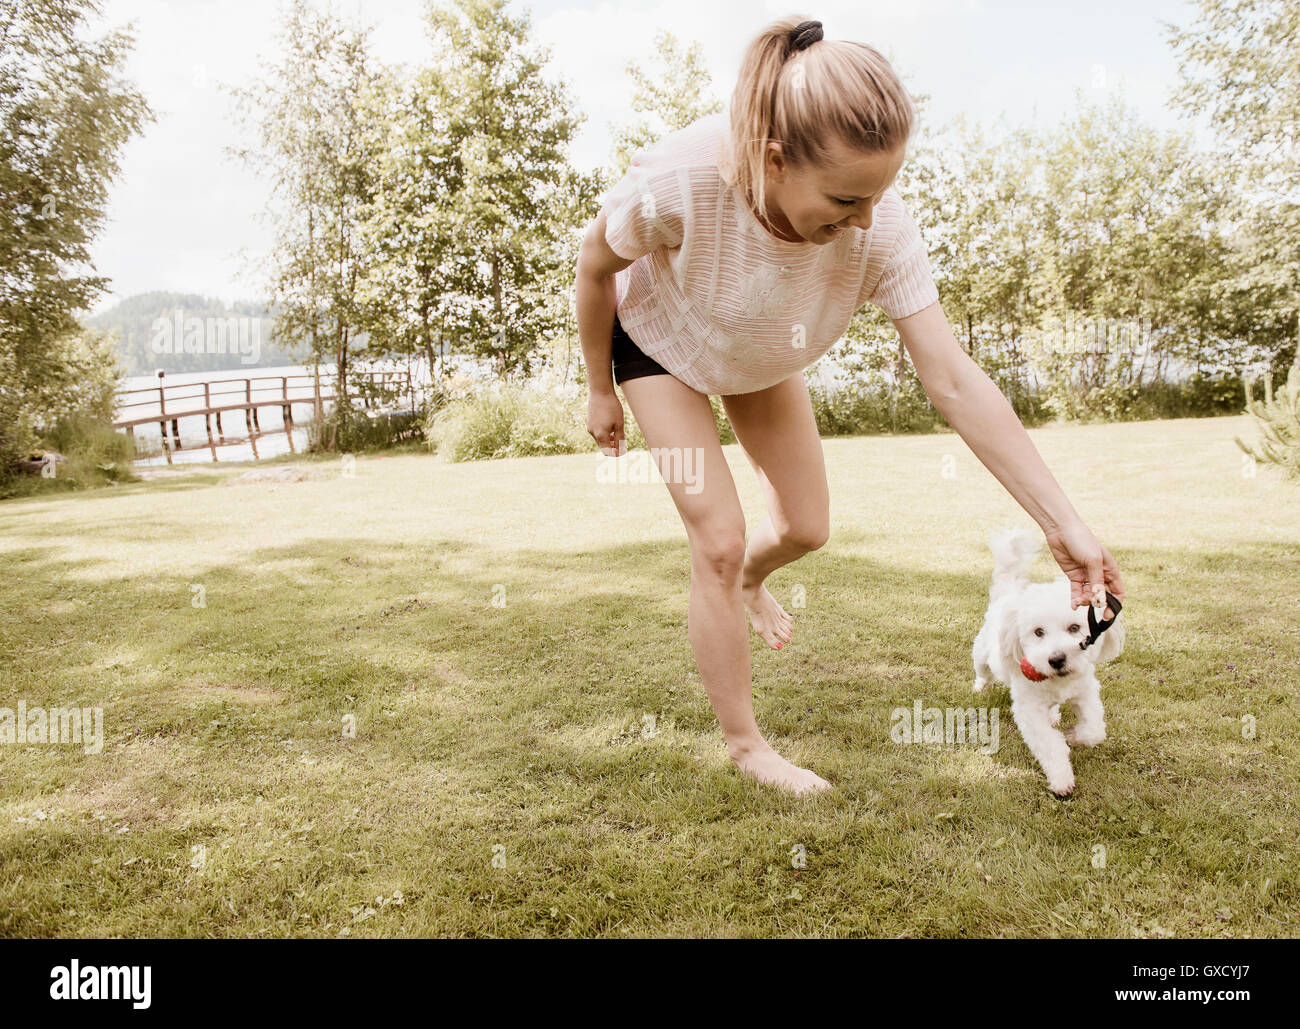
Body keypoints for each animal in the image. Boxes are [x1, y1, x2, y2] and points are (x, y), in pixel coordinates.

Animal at [972, 527, 1123, 800]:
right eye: (1038, 632)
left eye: (1074, 628)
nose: (1056, 659)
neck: (1057, 683)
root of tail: (1007, 593)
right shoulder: (1029, 711)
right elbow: (1051, 745)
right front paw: (1062, 779)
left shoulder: (1086, 693)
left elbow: (1095, 730)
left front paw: (1075, 736)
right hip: (981, 655)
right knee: (983, 672)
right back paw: (979, 687)